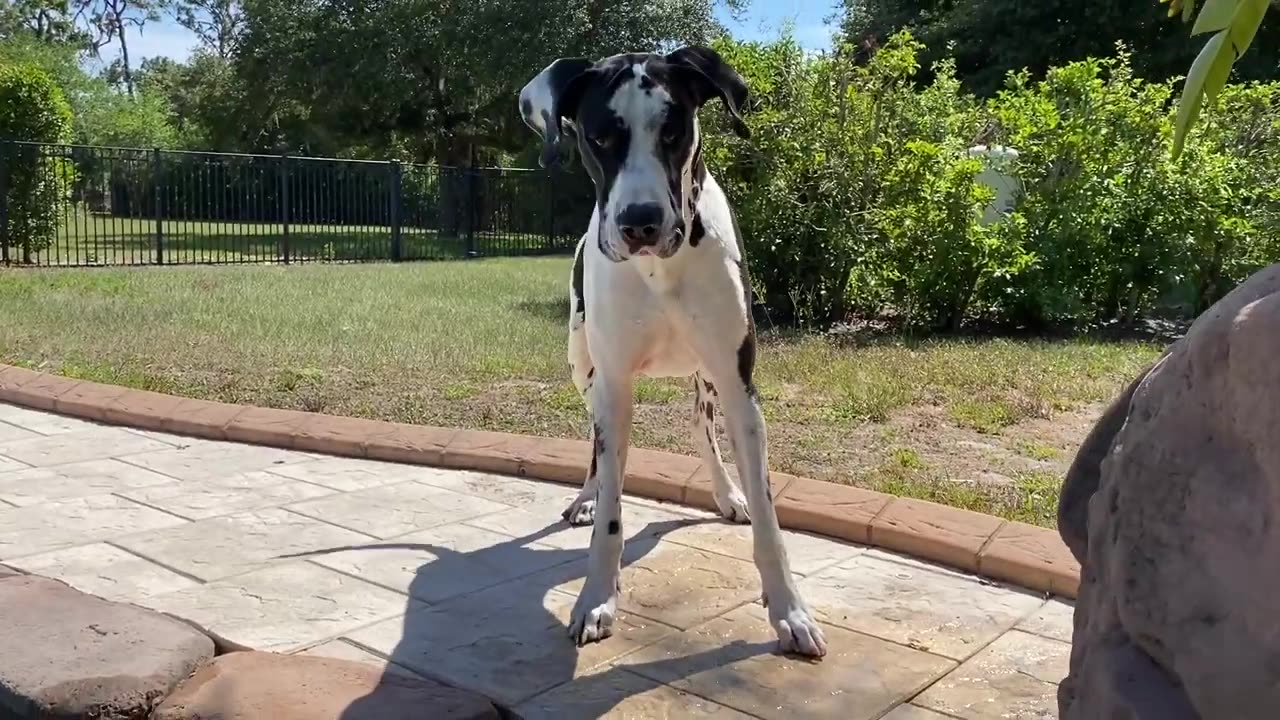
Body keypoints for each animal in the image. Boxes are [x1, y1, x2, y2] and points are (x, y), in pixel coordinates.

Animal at [519, 43, 829, 655]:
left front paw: (790, 610)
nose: (640, 222)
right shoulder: (614, 385)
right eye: (599, 137)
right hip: (583, 367)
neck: (657, 270)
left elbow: (769, 518)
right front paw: (596, 599)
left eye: (673, 130)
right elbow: (611, 518)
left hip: (707, 378)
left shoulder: (738, 383)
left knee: (700, 427)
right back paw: (586, 496)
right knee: (596, 446)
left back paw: (727, 494)